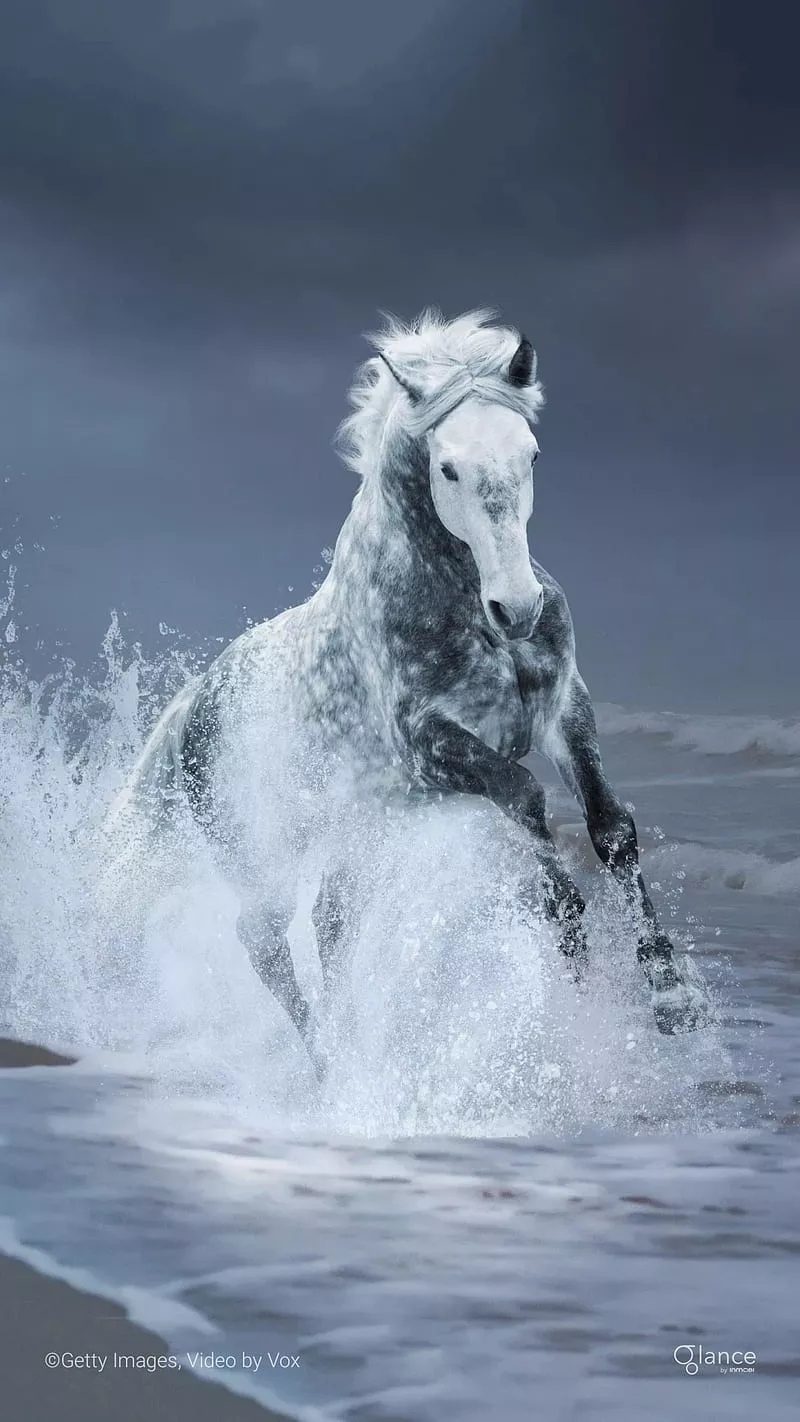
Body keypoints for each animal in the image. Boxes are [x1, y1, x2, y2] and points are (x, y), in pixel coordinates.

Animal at [114, 308, 710, 1075]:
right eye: (448, 465)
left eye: (532, 455)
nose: (518, 609)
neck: (461, 610)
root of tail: (194, 704)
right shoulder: (430, 749)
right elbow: (526, 797)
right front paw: (573, 955)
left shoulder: (563, 709)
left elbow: (612, 830)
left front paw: (670, 998)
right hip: (263, 852)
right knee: (265, 937)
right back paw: (325, 1068)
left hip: (357, 837)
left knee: (329, 927)